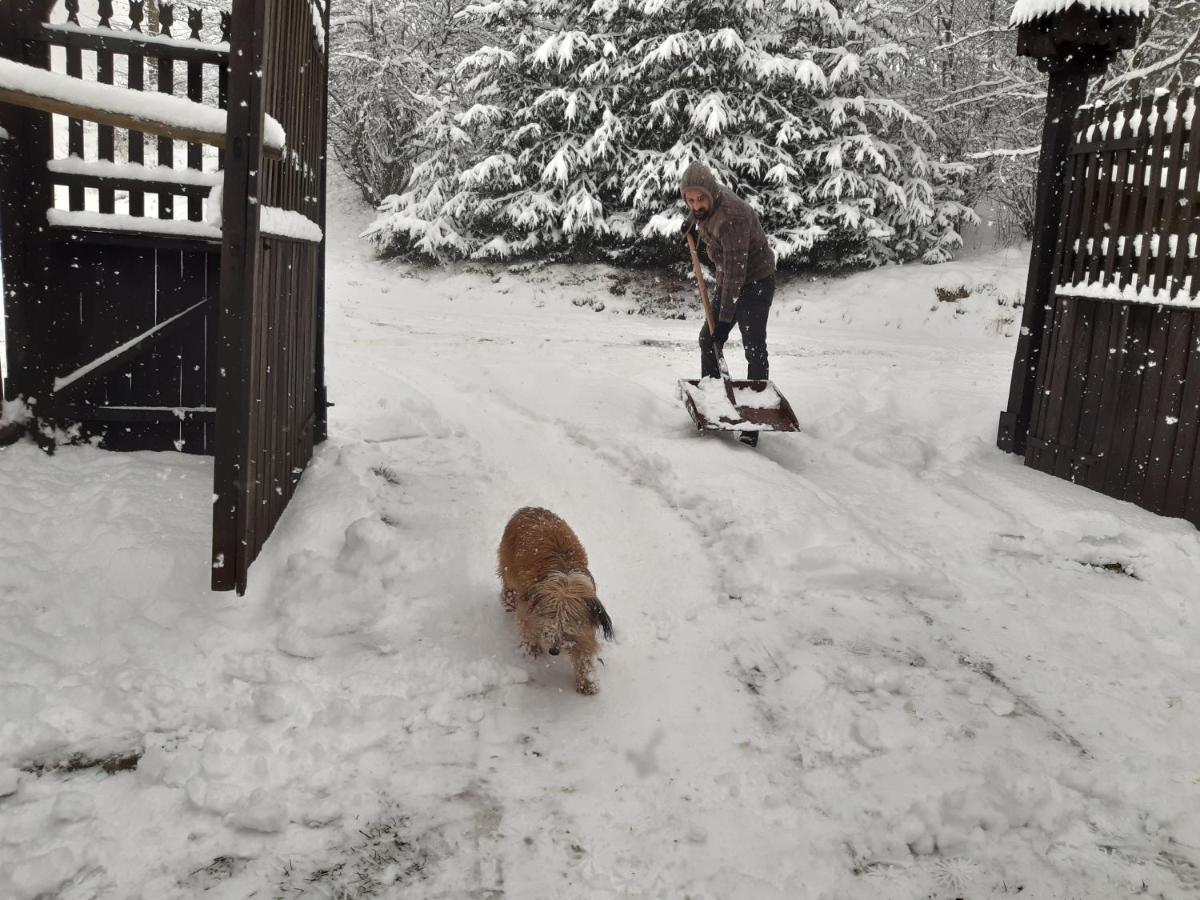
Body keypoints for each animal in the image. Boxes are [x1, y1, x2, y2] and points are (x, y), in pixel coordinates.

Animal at [496, 508, 614, 696]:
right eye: (551, 615)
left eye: (570, 620)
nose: (554, 650)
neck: (564, 580)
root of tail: (527, 509)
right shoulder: (528, 609)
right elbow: (528, 628)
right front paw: (533, 649)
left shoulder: (585, 624)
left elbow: (584, 650)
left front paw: (586, 682)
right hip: (509, 565)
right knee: (508, 583)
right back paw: (509, 600)